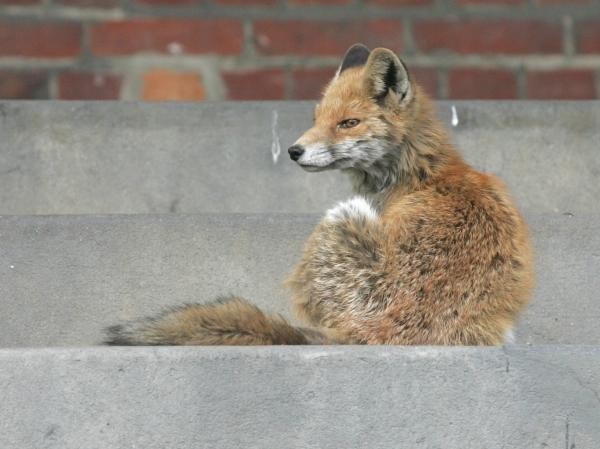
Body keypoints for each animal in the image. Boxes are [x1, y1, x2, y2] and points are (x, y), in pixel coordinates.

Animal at [105, 44, 532, 346]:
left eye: (348, 123)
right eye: (317, 118)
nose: (294, 150)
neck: (420, 174)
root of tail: (375, 333)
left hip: (336, 220)